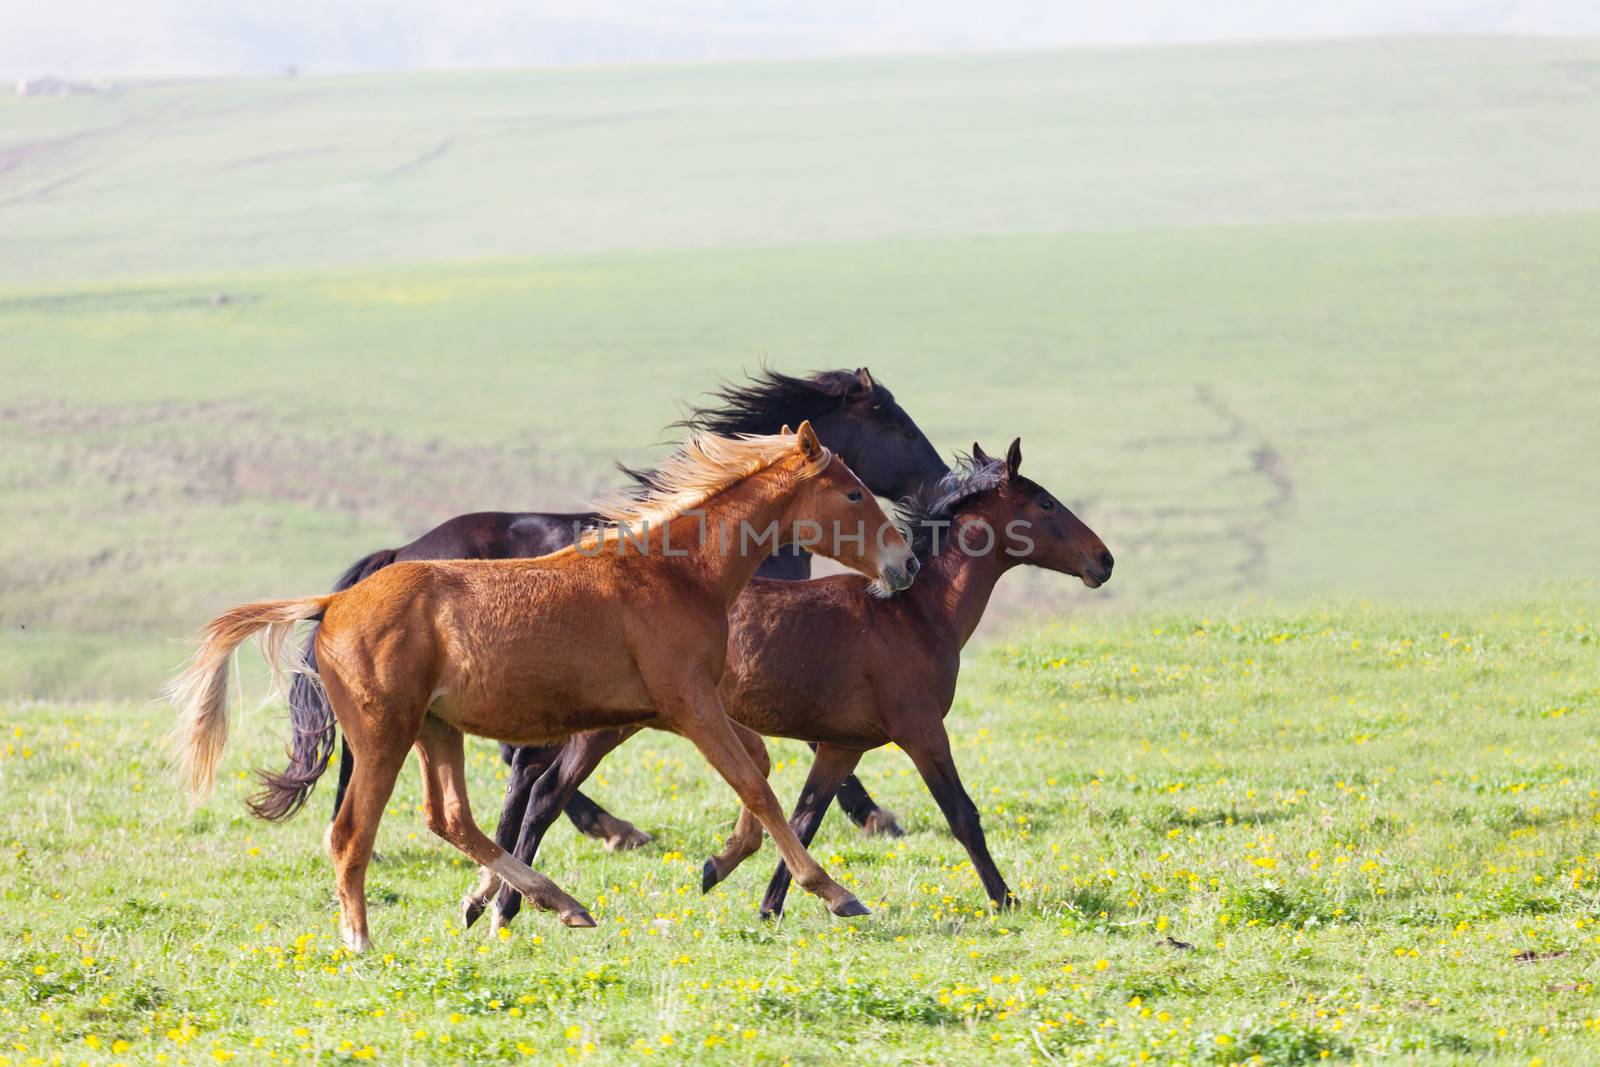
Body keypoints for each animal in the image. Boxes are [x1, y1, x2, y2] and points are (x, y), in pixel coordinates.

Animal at [168, 425, 921, 953]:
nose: (906, 562)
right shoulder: (686, 703)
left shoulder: (664, 710)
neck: (675, 571)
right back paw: (361, 940)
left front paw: (717, 863)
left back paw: (558, 903)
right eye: (853, 492)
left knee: (450, 818)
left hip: (437, 730)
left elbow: (755, 769)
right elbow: (756, 783)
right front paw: (835, 892)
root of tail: (334, 602)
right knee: (352, 832)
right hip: (386, 733)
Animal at [265, 367, 947, 857]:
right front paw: (875, 816)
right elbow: (806, 741)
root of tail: (396, 555)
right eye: (905, 430)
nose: (942, 487)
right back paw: (610, 830)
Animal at [467, 438, 1107, 927]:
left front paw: (767, 902)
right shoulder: (921, 729)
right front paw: (1005, 899)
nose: (1104, 561)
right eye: (1046, 502)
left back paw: (494, 902)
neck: (916, 613)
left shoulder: (844, 745)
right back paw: (508, 906)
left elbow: (804, 816)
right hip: (603, 728)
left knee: (535, 786)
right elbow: (961, 813)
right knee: (544, 793)